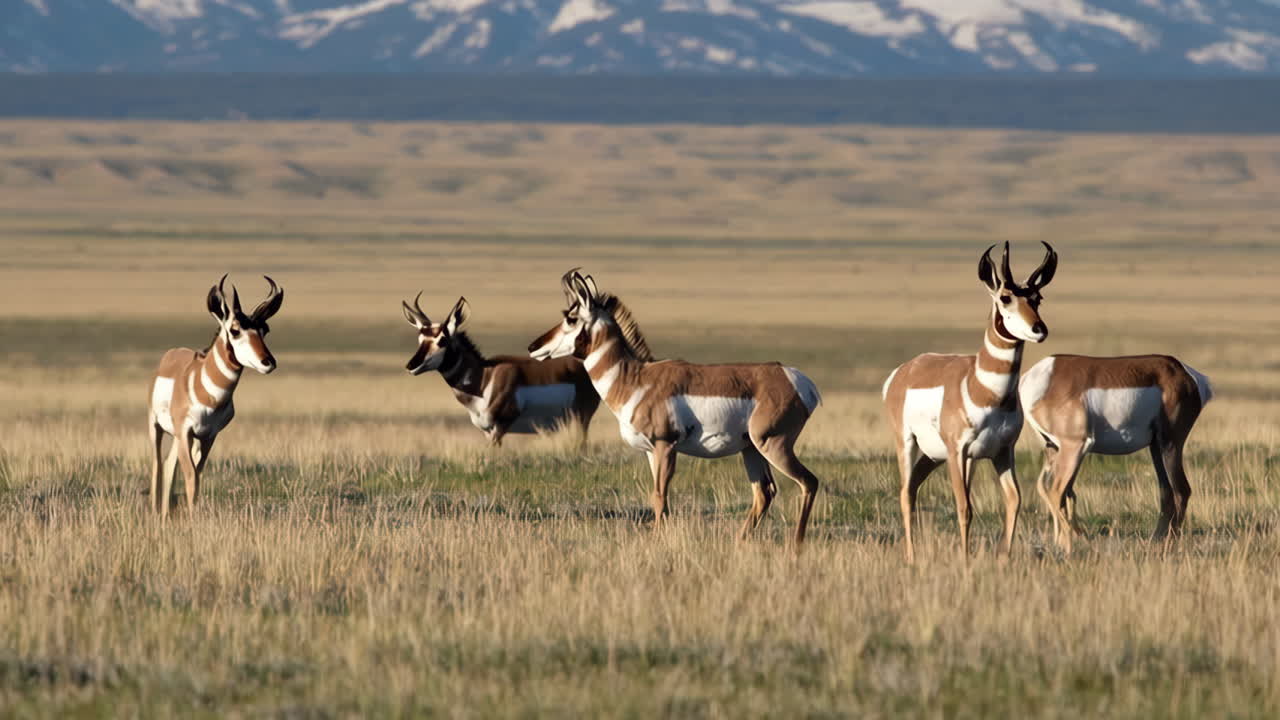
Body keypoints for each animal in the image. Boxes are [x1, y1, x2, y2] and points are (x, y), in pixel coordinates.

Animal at [148, 275, 283, 517]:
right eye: (235, 330)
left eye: (264, 329)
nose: (268, 362)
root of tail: (171, 354)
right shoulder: (185, 432)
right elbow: (191, 476)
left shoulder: (208, 436)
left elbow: (198, 475)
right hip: (156, 428)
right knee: (157, 465)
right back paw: (156, 513)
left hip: (183, 439)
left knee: (170, 463)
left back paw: (165, 514)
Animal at [402, 294, 599, 446]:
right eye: (420, 339)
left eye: (442, 340)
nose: (411, 366)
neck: (485, 377)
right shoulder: (487, 431)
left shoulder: (500, 428)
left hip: (582, 418)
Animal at [528, 270, 823, 545]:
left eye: (571, 318)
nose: (533, 346)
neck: (636, 380)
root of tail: (795, 379)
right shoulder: (650, 452)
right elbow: (658, 497)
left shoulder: (666, 447)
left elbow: (660, 496)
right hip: (751, 450)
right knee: (764, 492)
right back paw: (741, 540)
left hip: (773, 445)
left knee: (808, 481)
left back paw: (796, 544)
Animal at [883, 242, 1057, 561]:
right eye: (1005, 297)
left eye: (1037, 298)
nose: (1039, 329)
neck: (982, 388)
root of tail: (904, 371)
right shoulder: (959, 451)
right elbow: (964, 507)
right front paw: (964, 560)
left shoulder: (1002, 452)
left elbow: (1013, 500)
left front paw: (1003, 558)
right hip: (910, 445)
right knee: (904, 494)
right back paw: (911, 557)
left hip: (934, 456)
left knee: (913, 487)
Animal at [1019, 355, 1213, 552]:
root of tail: (1187, 373)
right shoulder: (1055, 448)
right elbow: (1056, 491)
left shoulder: (1076, 446)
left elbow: (1057, 491)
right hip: (1155, 448)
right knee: (1166, 492)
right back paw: (1154, 541)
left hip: (1170, 444)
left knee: (1181, 489)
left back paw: (1167, 545)